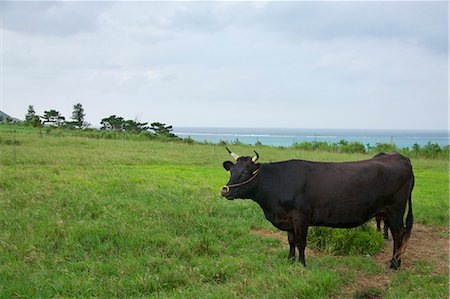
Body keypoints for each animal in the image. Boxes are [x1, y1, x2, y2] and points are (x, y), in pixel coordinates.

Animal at [220, 149, 414, 270]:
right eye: (232, 171)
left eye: (246, 172)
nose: (225, 190)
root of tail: (400, 158)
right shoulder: (288, 219)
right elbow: (291, 241)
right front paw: (290, 261)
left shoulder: (301, 217)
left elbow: (301, 242)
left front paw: (302, 264)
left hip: (395, 211)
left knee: (399, 234)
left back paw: (395, 264)